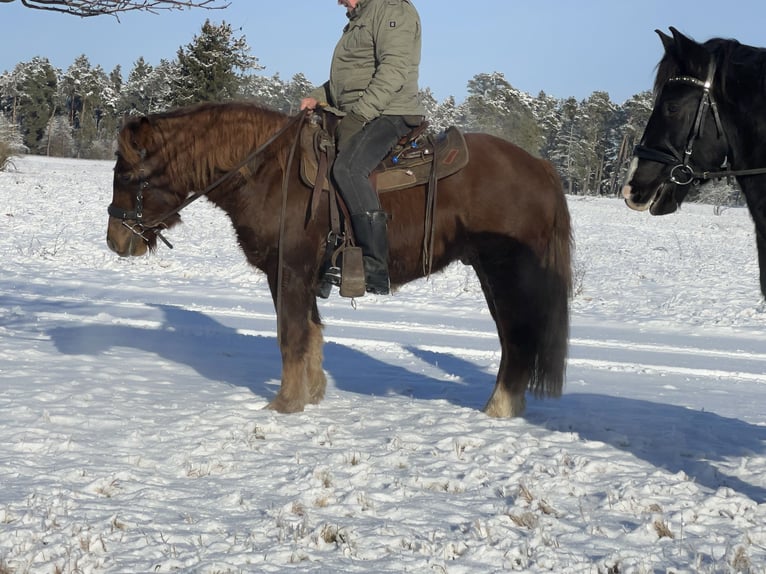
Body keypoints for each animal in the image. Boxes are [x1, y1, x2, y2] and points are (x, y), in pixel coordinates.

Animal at [106, 103, 568, 418]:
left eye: (127, 176)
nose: (115, 240)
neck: (268, 174)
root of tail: (541, 167)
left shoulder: (288, 274)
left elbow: (291, 335)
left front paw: (285, 403)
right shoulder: (303, 277)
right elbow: (311, 332)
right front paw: (311, 394)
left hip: (506, 274)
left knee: (517, 338)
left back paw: (498, 407)